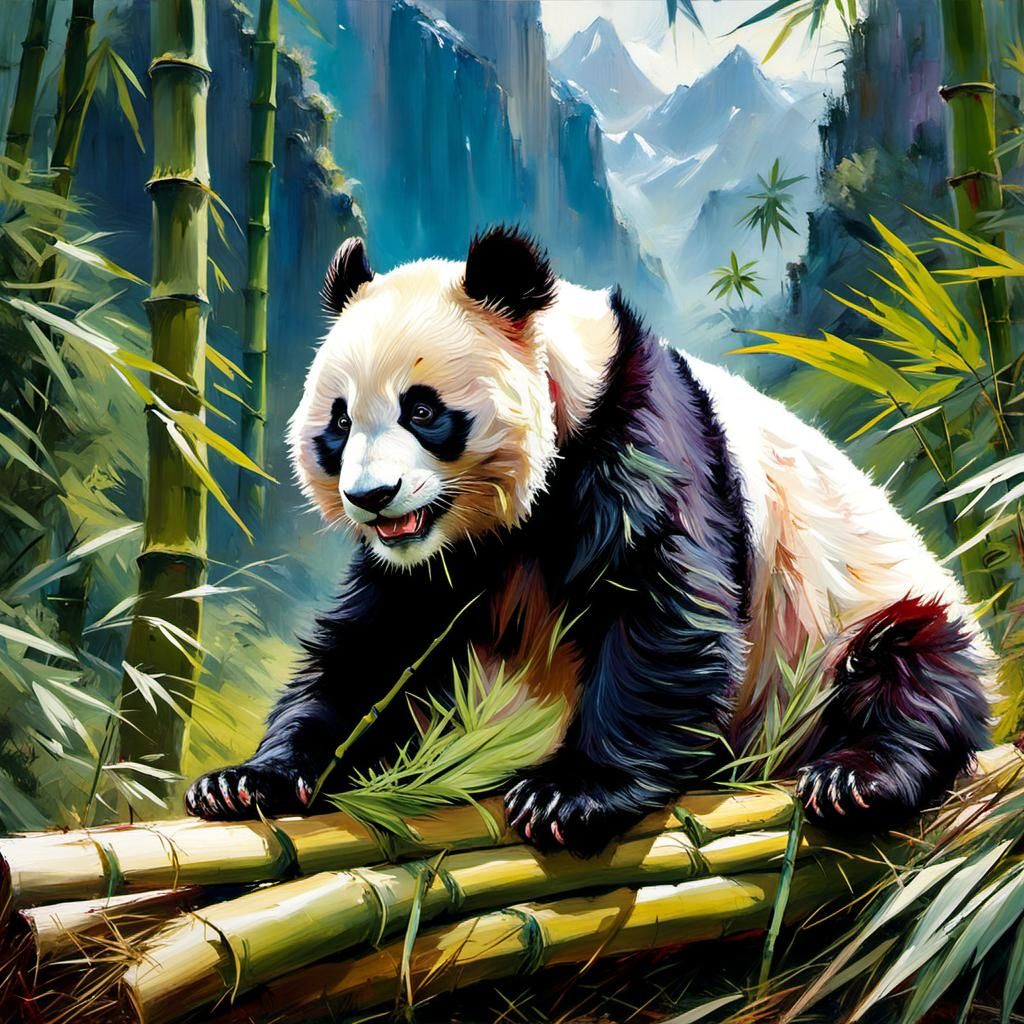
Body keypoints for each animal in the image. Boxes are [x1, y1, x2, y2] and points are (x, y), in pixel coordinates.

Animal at [186, 227, 993, 856]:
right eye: (341, 422)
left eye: (423, 410)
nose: (371, 498)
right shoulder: (434, 560)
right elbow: (375, 647)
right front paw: (248, 780)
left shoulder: (636, 439)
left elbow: (664, 610)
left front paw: (568, 794)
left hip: (860, 614)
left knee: (912, 672)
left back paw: (854, 776)